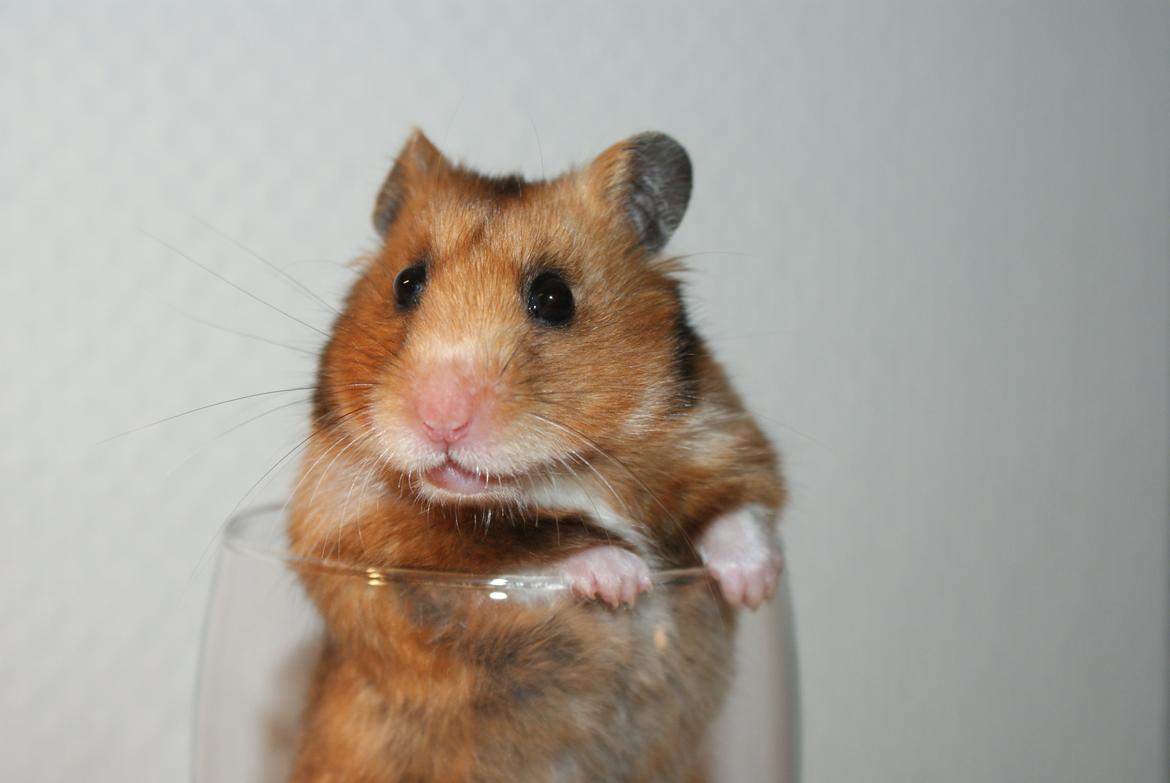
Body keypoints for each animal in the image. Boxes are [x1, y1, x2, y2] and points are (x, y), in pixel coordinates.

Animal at [287, 130, 786, 783]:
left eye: (554, 297)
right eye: (406, 283)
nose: (440, 418)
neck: (556, 475)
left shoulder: (723, 431)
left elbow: (738, 507)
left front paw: (753, 587)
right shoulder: (355, 532)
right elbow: (517, 542)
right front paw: (626, 581)